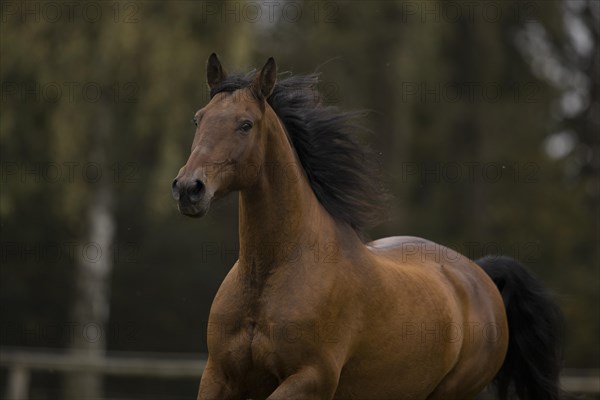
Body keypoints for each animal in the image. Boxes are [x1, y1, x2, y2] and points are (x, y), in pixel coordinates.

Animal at [171, 54, 564, 400]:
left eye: (245, 124)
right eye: (198, 119)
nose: (189, 188)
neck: (268, 277)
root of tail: (479, 275)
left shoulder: (311, 380)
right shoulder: (218, 377)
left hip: (451, 393)